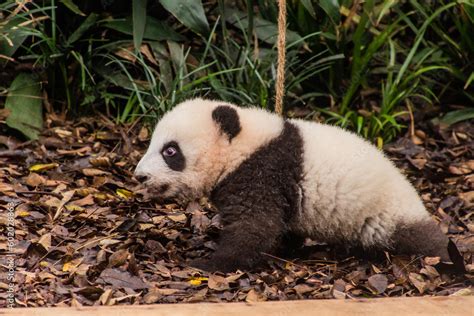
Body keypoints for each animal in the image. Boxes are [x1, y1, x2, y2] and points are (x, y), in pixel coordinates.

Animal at [134, 98, 452, 272]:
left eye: (170, 151)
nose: (140, 176)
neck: (241, 147)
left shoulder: (263, 172)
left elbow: (255, 227)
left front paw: (209, 264)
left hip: (387, 213)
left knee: (421, 239)